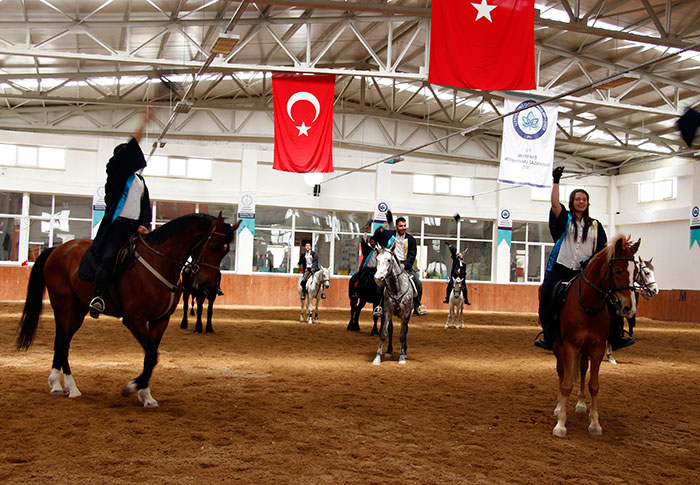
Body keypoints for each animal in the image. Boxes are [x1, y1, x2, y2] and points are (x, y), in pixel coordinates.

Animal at [17, 214, 237, 406]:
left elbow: (150, 356)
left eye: (226, 252)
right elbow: (152, 355)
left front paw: (146, 395)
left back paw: (56, 383)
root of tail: (58, 249)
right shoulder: (134, 319)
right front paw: (133, 387)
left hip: (78, 309)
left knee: (63, 343)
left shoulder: (160, 320)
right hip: (63, 304)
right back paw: (71, 388)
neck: (161, 262)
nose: (208, 285)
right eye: (214, 246)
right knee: (62, 342)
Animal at [552, 233, 640, 434]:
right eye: (617, 271)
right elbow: (566, 383)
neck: (589, 306)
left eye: (636, 272)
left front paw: (594, 422)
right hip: (559, 346)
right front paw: (560, 424)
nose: (629, 308)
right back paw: (559, 407)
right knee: (562, 372)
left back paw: (581, 405)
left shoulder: (598, 348)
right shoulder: (569, 346)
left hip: (586, 350)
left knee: (584, 368)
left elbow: (594, 385)